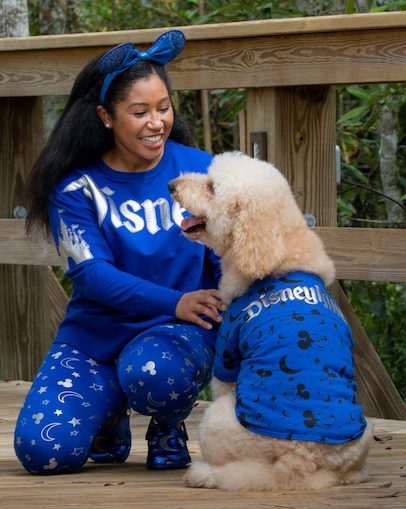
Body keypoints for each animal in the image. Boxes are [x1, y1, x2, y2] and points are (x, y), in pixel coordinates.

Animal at [167, 152, 372, 492]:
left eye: (211, 187)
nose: (172, 184)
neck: (279, 254)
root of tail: (299, 460)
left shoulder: (228, 355)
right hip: (363, 433)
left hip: (217, 422)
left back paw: (203, 474)